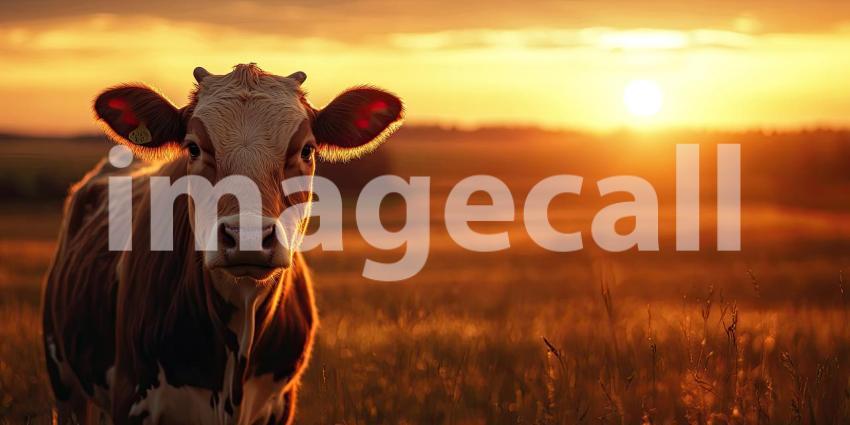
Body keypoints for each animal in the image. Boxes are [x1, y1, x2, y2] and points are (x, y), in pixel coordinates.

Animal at [42, 63, 403, 424]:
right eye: (193, 148)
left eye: (306, 150)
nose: (248, 236)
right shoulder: (129, 395)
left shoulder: (281, 402)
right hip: (65, 385)